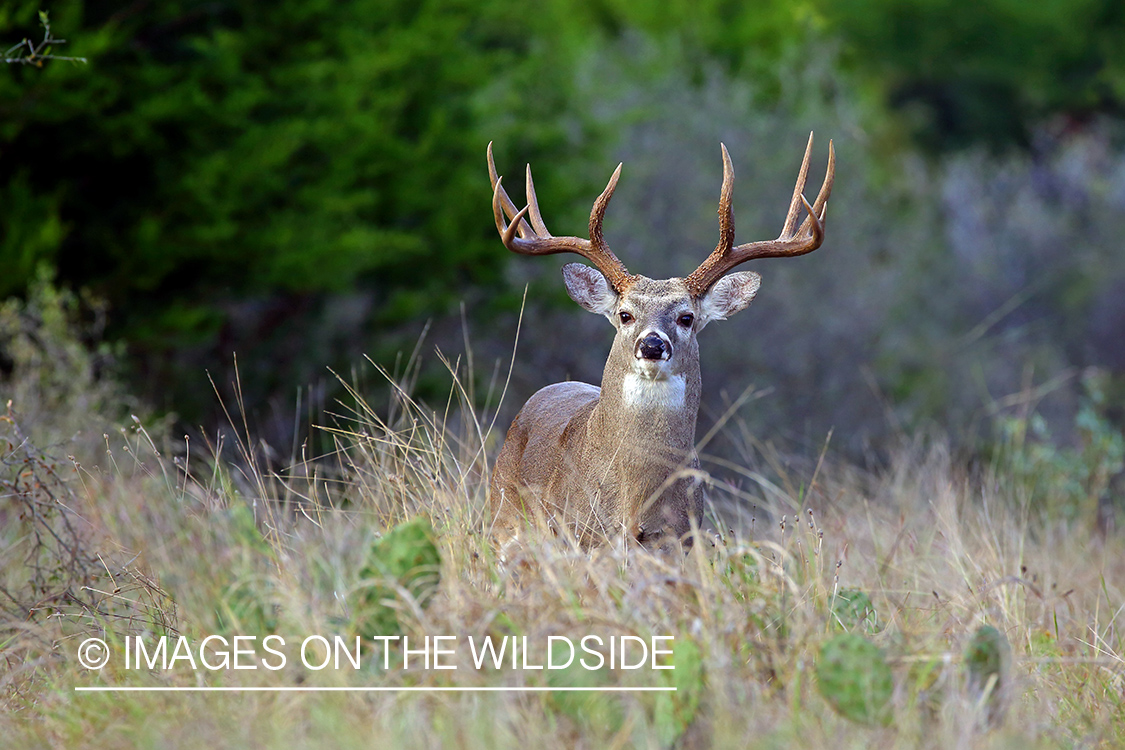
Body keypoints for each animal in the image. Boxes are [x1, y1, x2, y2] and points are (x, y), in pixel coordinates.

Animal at [486, 134, 837, 557]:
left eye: (686, 317)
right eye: (625, 314)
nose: (652, 345)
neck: (633, 500)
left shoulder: (679, 539)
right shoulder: (583, 535)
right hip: (503, 522)